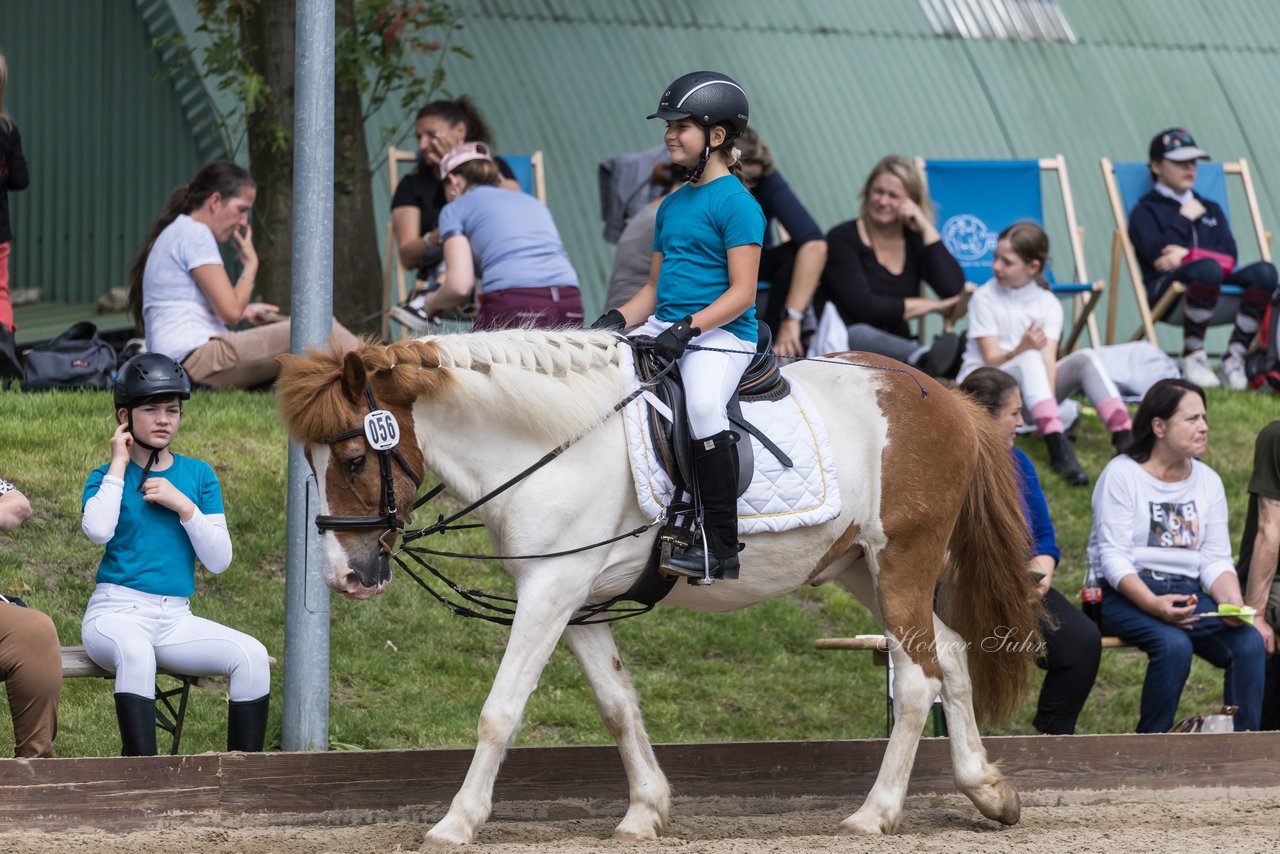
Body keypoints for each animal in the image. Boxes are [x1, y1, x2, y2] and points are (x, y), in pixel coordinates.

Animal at [275, 330, 1034, 845]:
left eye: (352, 458)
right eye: (310, 463)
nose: (344, 576)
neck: (552, 443)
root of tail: (948, 398)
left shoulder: (549, 590)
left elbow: (501, 710)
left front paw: (456, 822)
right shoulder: (578, 602)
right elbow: (618, 706)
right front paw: (645, 811)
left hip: (902, 557)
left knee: (916, 680)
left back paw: (875, 814)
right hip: (858, 565)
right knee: (951, 653)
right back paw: (987, 790)